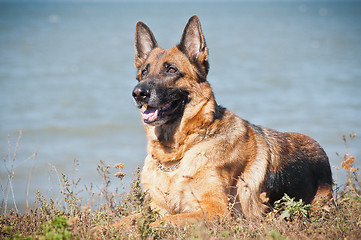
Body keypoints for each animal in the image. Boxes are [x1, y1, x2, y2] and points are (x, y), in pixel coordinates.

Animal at [128, 15, 334, 226]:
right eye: (144, 72)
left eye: (171, 69)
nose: (138, 93)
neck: (177, 155)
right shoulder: (157, 208)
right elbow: (129, 220)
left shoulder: (216, 210)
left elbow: (158, 223)